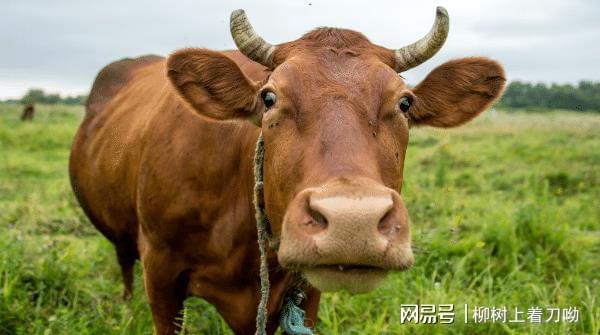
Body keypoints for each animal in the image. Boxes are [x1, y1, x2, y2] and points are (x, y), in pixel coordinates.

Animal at [68, 7, 504, 335]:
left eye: (405, 103)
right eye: (269, 97)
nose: (353, 223)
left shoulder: (304, 294)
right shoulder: (161, 273)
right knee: (124, 263)